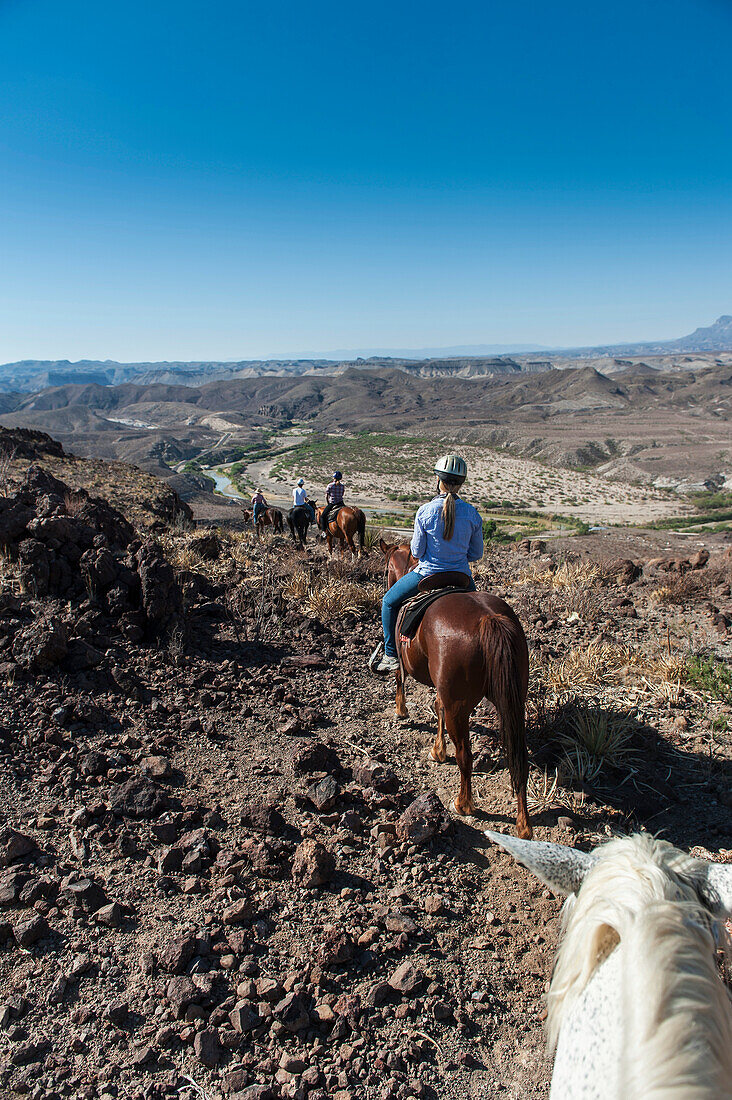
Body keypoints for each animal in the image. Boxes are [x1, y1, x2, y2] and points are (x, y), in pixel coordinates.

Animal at [378, 536, 528, 836]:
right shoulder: (443, 690)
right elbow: (437, 707)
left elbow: (400, 680)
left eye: (387, 568)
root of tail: (488, 619)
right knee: (520, 759)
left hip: (459, 707)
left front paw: (401, 711)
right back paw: (524, 826)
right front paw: (438, 750)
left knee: (465, 756)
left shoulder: (404, 662)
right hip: (513, 701)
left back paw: (463, 804)